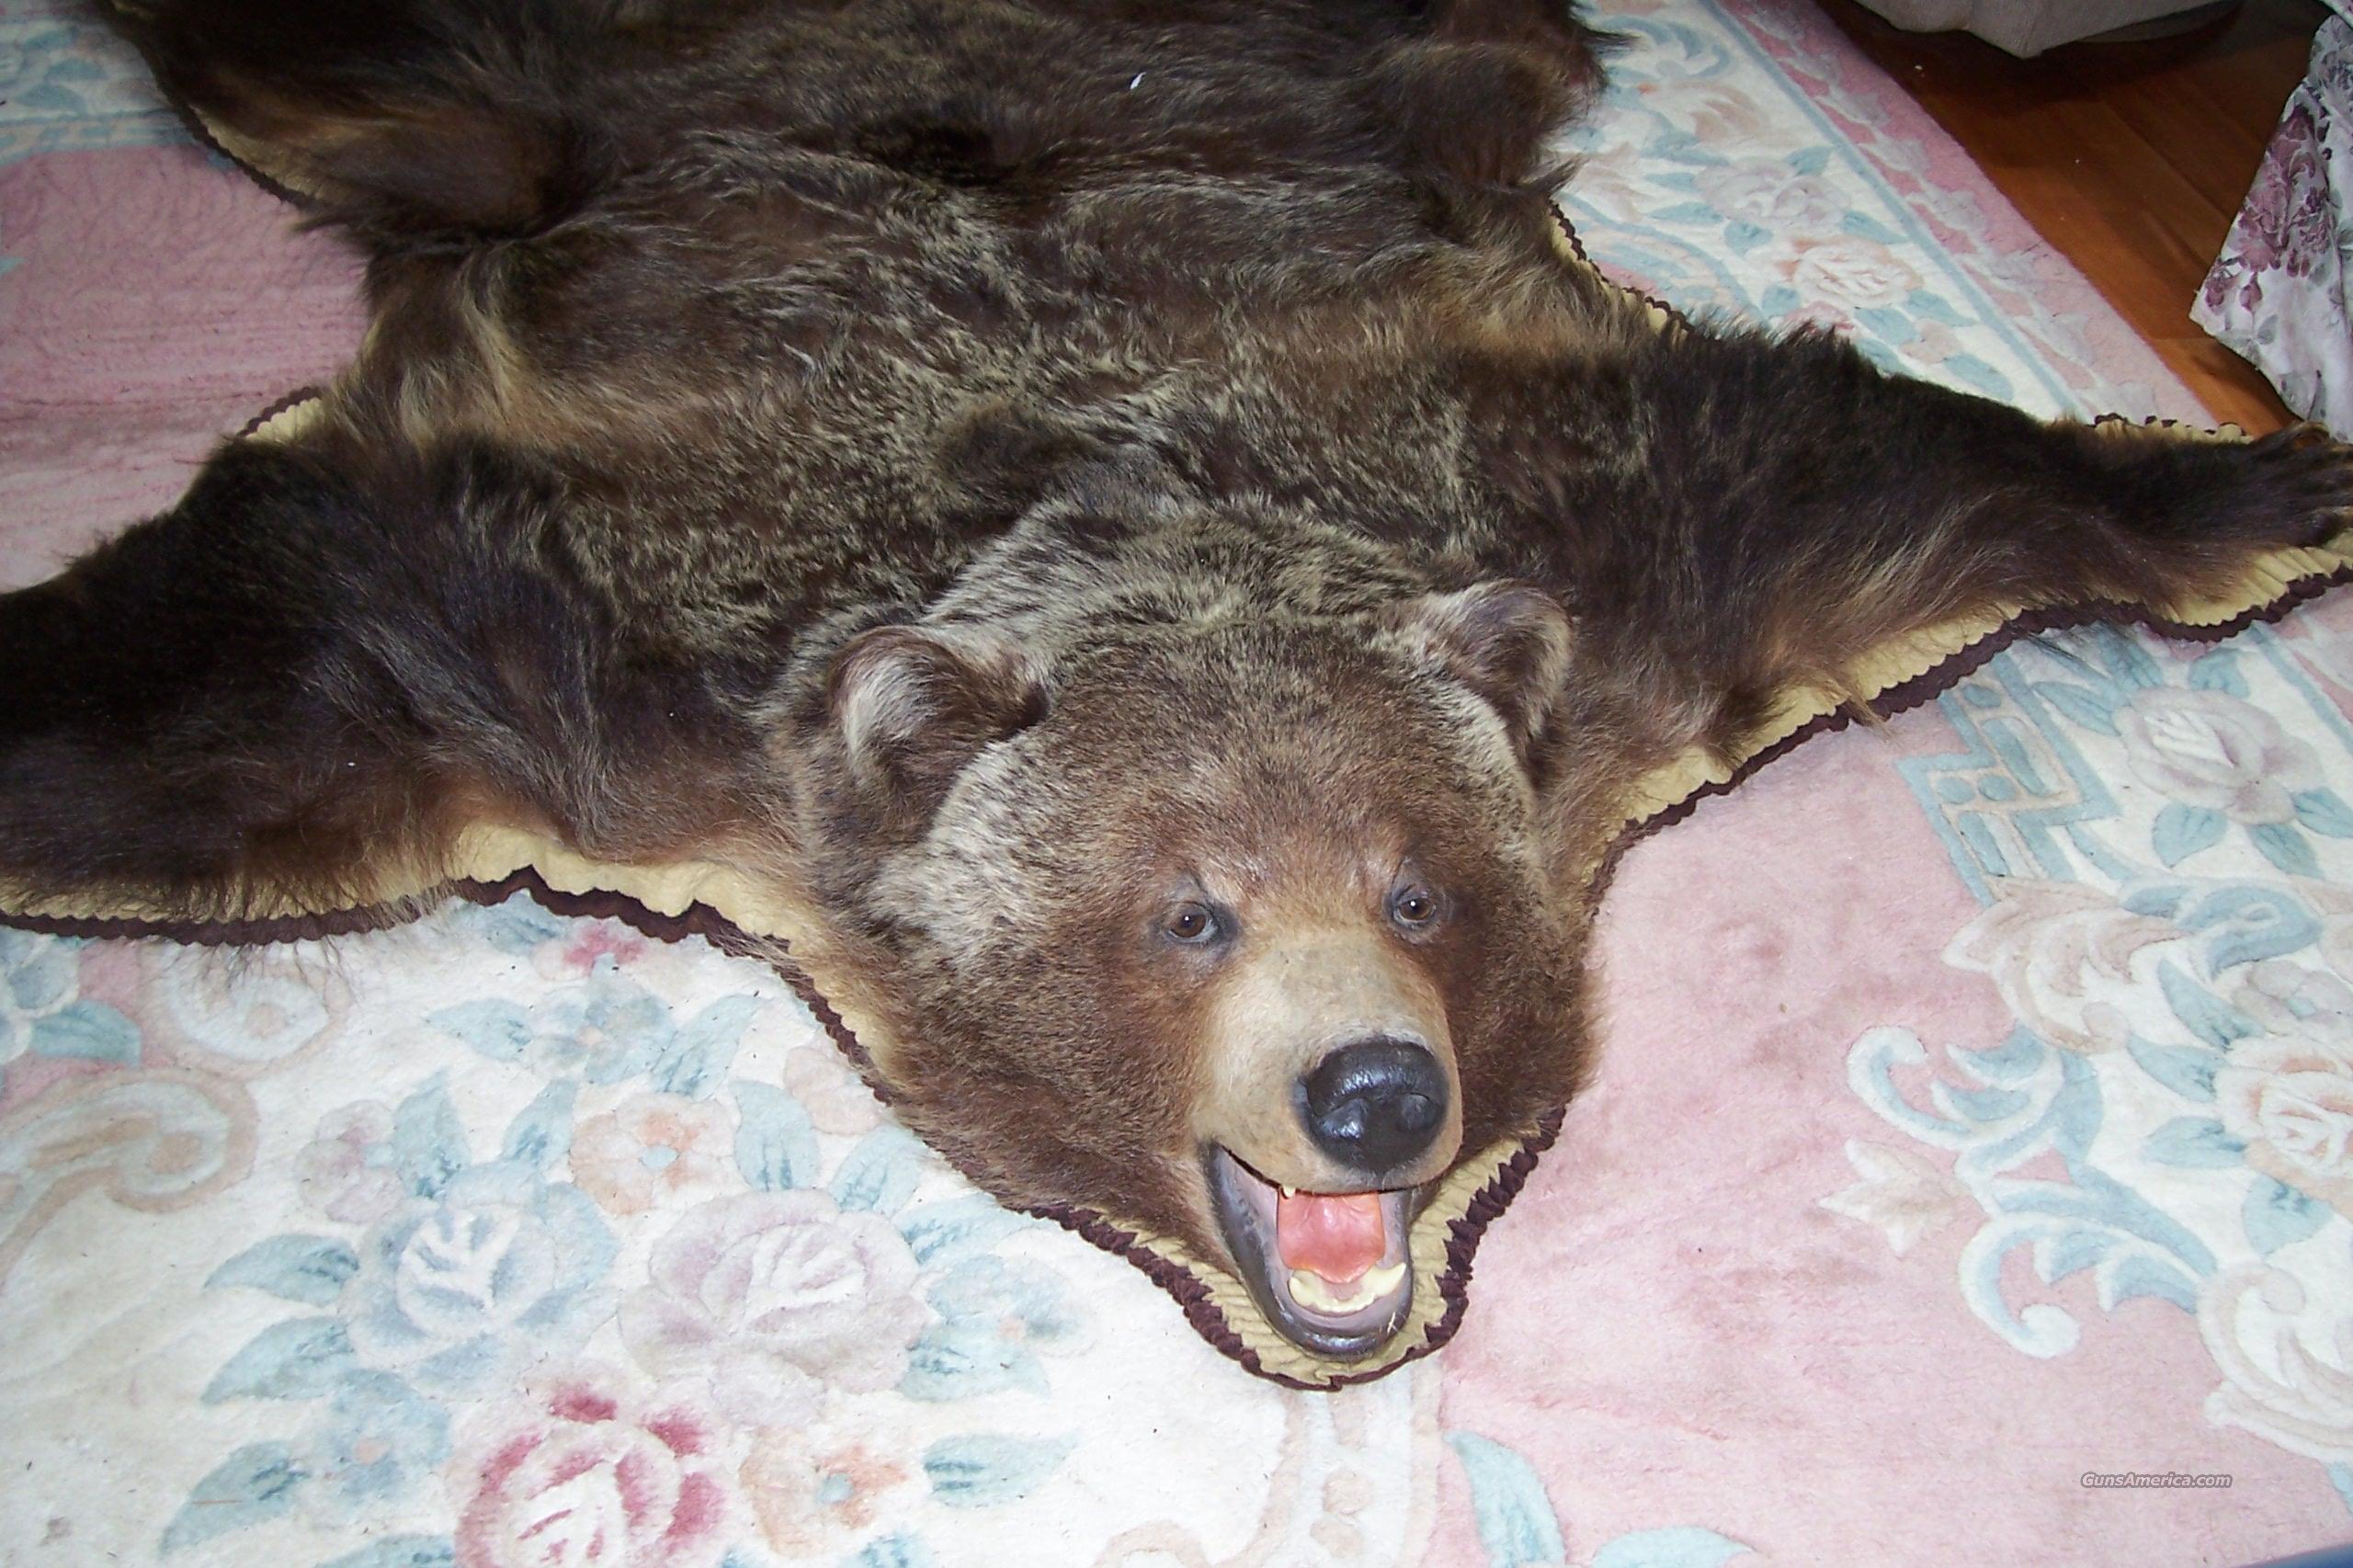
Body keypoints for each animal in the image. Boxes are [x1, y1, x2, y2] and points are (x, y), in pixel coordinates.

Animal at [4, 0, 2350, 1361]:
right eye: (1184, 912)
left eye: (1418, 888)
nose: (1372, 1090)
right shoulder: (556, 658)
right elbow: (184, 700)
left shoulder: (1621, 557)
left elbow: (1904, 465)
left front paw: (2268, 466)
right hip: (489, 110)